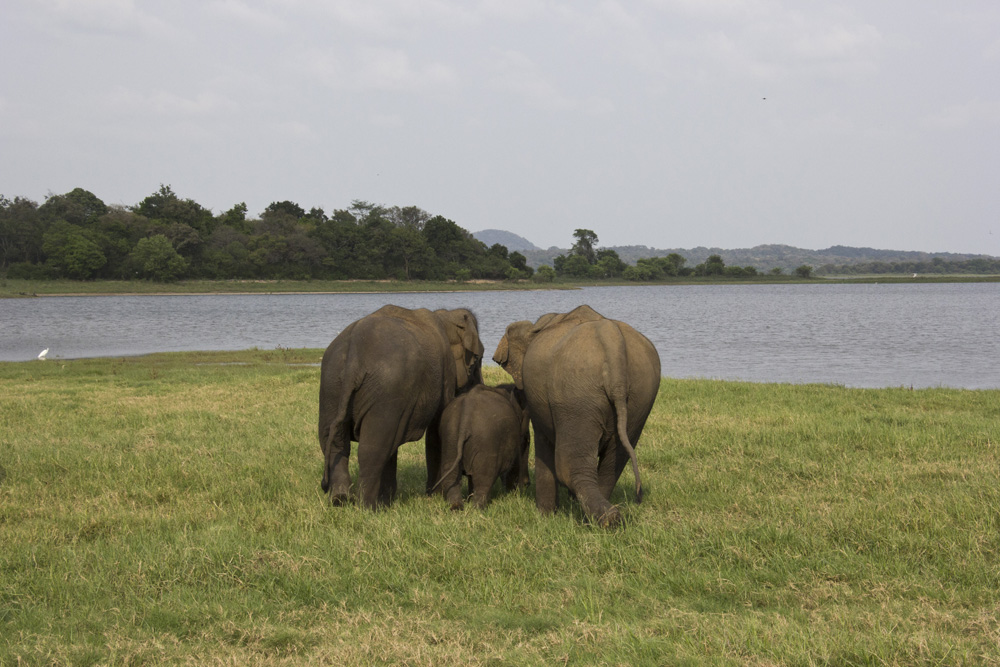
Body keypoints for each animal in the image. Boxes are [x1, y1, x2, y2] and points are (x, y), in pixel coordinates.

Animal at [316, 306, 480, 508]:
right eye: (477, 360)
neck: (445, 315)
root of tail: (354, 355)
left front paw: (388, 499)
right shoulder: (445, 375)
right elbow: (436, 431)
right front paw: (435, 494)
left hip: (331, 385)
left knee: (336, 443)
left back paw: (341, 500)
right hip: (386, 389)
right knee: (372, 449)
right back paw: (368, 507)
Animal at [494, 306, 664, 528]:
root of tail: (612, 342)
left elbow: (543, 444)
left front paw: (545, 517)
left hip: (575, 397)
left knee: (570, 468)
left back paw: (605, 519)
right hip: (639, 397)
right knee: (611, 465)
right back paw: (603, 518)